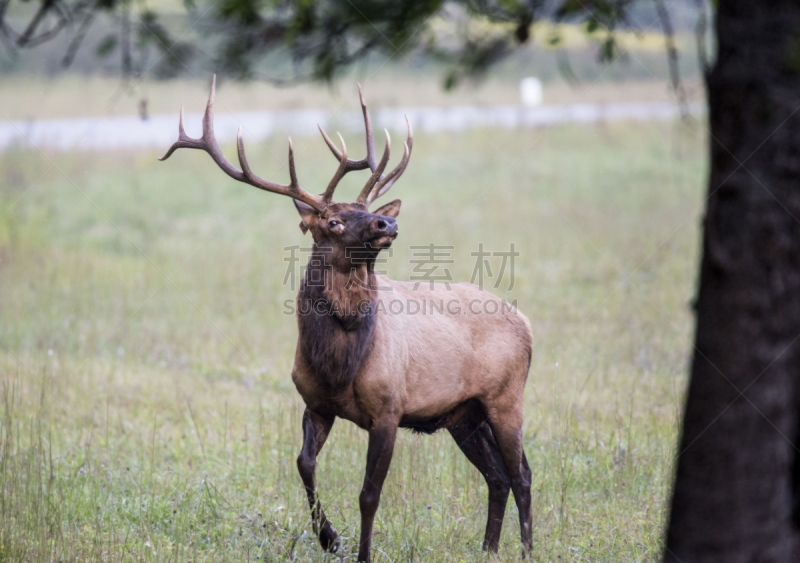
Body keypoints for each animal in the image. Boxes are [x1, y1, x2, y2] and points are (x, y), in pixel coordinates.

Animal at [159, 76, 536, 563]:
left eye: (367, 211)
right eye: (334, 222)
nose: (384, 224)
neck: (338, 364)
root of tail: (528, 325)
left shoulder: (390, 407)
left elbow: (369, 494)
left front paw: (360, 551)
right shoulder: (315, 402)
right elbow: (303, 463)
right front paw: (329, 537)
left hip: (506, 397)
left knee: (522, 473)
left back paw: (526, 550)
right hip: (463, 414)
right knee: (497, 475)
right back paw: (487, 549)